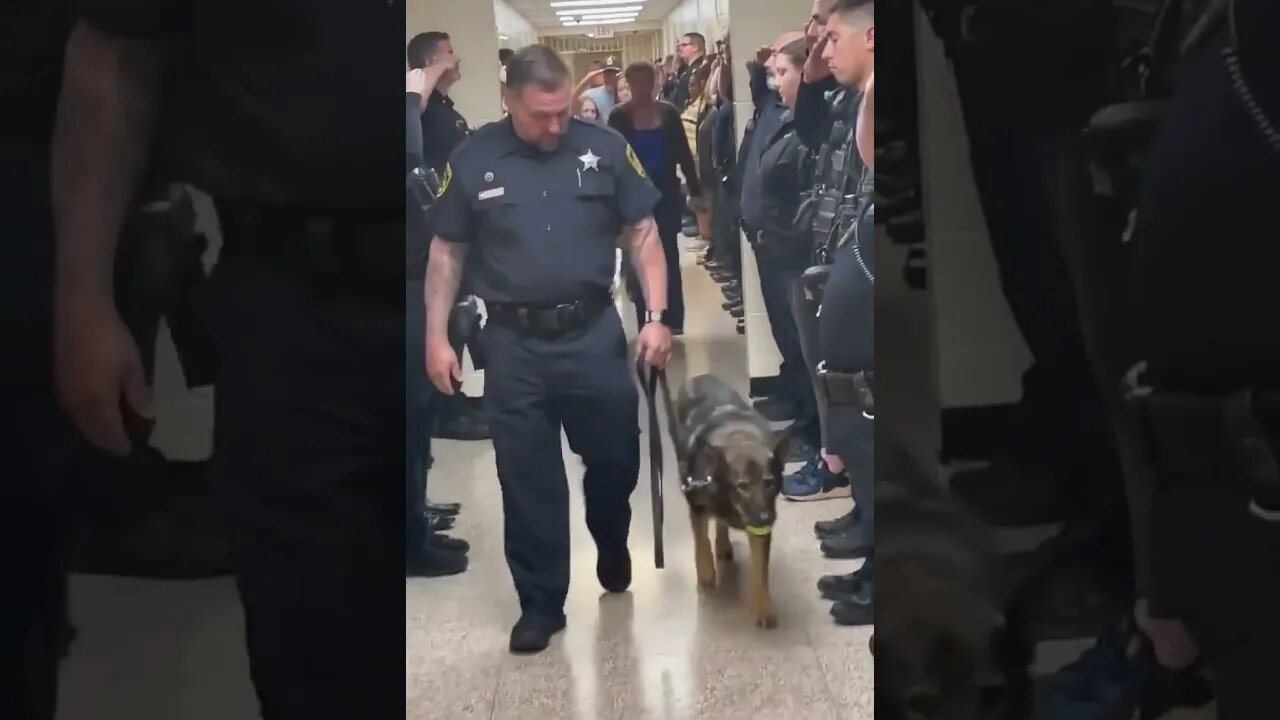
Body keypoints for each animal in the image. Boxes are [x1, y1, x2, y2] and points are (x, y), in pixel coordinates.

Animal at [670, 371, 788, 625]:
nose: (765, 518)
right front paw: (705, 571)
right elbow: (701, 540)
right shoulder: (697, 505)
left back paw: (723, 543)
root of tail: (699, 376)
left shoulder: (759, 528)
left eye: (769, 482)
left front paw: (763, 606)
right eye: (742, 486)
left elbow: (760, 570)